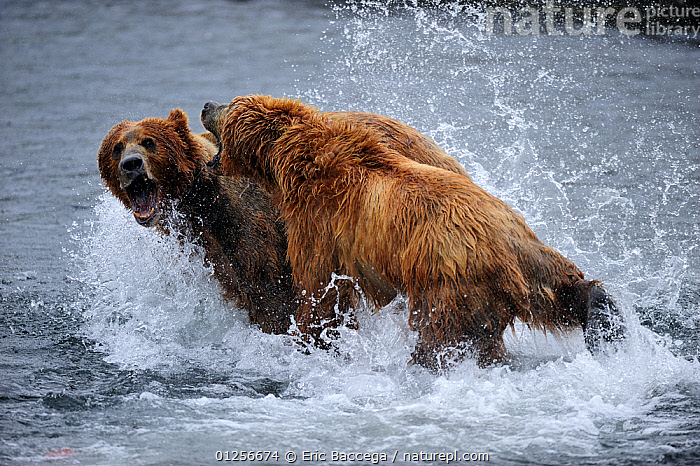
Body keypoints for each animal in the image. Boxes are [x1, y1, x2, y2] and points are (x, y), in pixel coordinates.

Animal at [201, 94, 624, 370]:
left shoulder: (319, 221)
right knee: (562, 286)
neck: (292, 162)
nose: (205, 106)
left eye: (230, 106)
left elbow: (321, 287)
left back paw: (424, 362)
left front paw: (308, 336)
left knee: (442, 334)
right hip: (526, 247)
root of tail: (504, 258)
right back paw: (604, 315)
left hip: (448, 278)